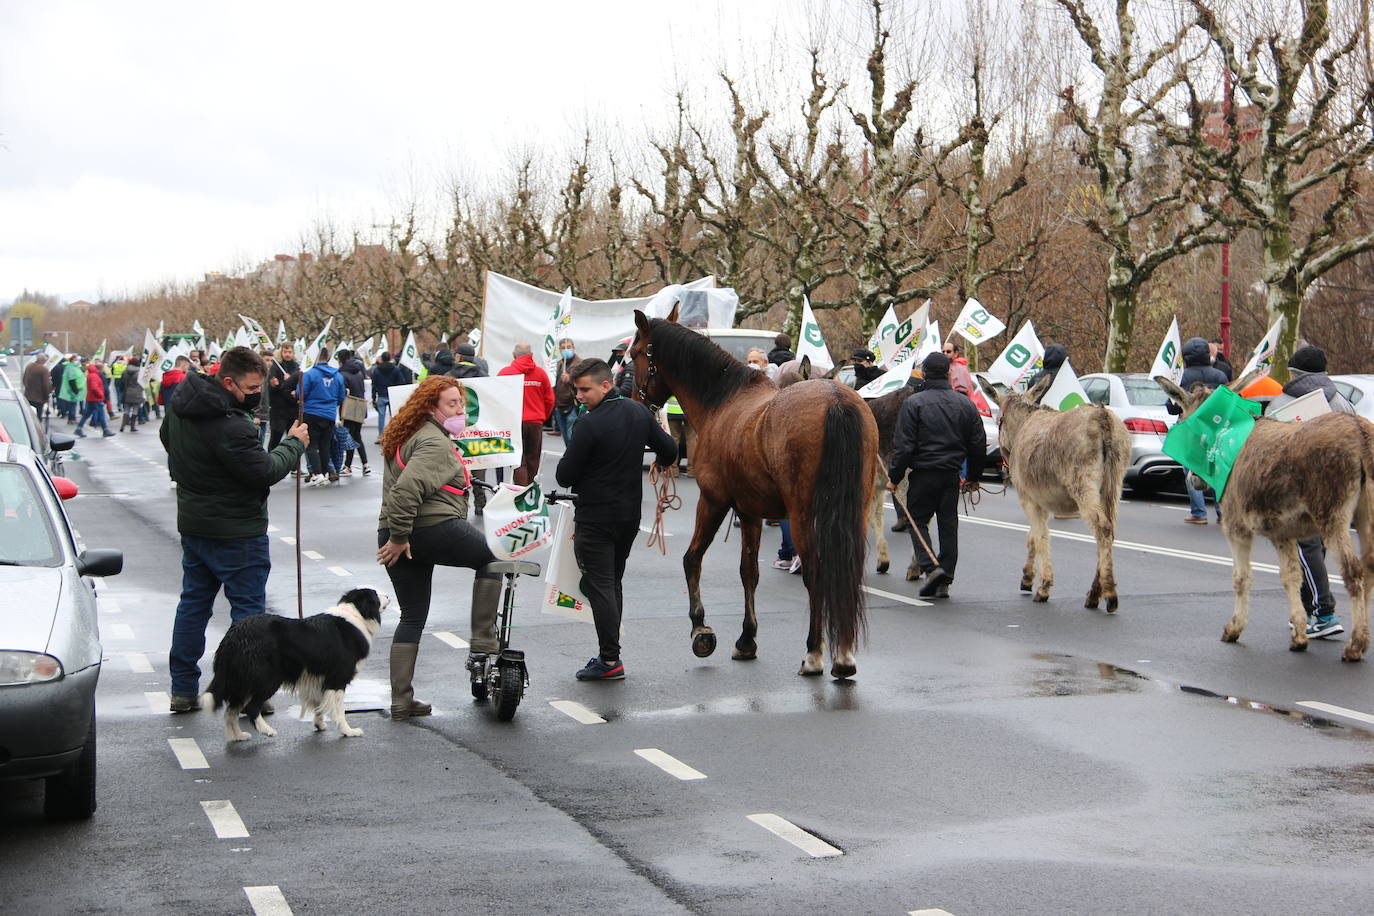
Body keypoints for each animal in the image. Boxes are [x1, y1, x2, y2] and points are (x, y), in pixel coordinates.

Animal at [203, 590, 390, 741]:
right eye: (375, 594)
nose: (388, 596)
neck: (356, 612)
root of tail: (233, 635)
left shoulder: (318, 677)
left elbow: (319, 704)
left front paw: (319, 724)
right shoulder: (338, 678)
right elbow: (339, 709)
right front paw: (348, 731)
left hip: (240, 679)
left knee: (230, 711)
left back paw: (238, 736)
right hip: (267, 677)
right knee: (250, 707)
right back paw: (267, 730)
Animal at [629, 311, 873, 678]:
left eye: (634, 355)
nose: (633, 402)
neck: (724, 401)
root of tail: (835, 398)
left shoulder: (714, 502)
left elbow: (692, 559)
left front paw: (701, 629)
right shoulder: (750, 511)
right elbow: (749, 572)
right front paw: (747, 639)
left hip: (803, 516)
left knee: (817, 573)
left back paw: (815, 654)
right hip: (855, 511)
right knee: (846, 569)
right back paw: (842, 655)